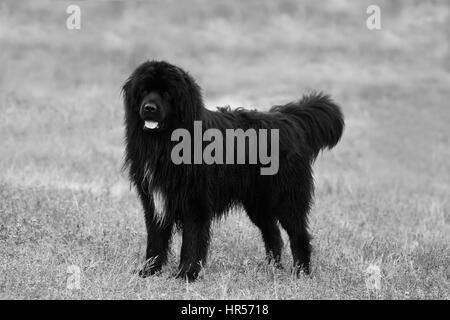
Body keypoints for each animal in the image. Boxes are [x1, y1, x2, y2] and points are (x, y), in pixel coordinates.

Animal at [121, 61, 342, 282]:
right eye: (144, 91)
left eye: (167, 93)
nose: (149, 108)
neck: (165, 143)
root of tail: (288, 119)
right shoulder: (154, 201)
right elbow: (155, 241)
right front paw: (149, 271)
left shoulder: (195, 203)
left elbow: (191, 242)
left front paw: (186, 274)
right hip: (257, 203)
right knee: (273, 233)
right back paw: (272, 268)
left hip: (286, 199)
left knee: (299, 234)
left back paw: (301, 272)